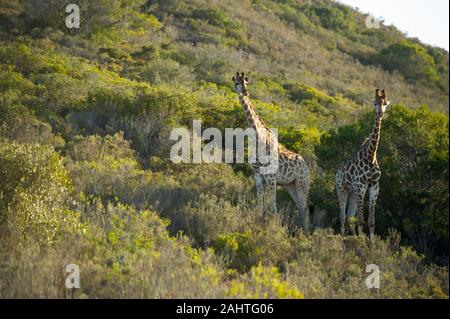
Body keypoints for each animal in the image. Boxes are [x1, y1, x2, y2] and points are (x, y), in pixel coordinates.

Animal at [232, 73, 310, 232]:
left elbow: (273, 208)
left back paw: (305, 233)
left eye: (246, 83)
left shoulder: (271, 178)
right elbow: (260, 206)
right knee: (301, 207)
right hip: (290, 185)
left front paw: (274, 230)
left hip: (302, 182)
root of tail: (306, 165)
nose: (245, 92)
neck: (259, 139)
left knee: (305, 209)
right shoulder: (258, 176)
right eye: (237, 83)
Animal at [334, 89, 390, 239]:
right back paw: (343, 237)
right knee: (343, 216)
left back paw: (352, 236)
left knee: (349, 216)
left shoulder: (374, 187)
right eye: (375, 103)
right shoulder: (361, 187)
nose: (380, 113)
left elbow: (371, 221)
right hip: (342, 189)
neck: (370, 156)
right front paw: (361, 240)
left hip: (353, 193)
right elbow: (360, 220)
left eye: (385, 103)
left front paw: (371, 242)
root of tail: (337, 172)